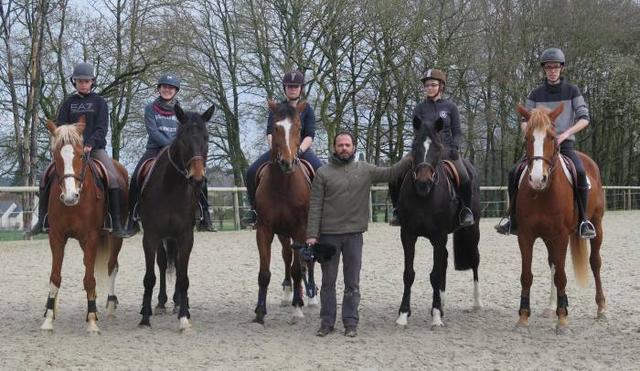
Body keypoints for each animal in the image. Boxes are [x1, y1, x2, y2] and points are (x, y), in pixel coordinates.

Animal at [40, 118, 128, 334]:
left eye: (81, 154)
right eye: (56, 156)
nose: (70, 196)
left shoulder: (91, 237)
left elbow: (89, 279)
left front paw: (92, 321)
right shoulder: (56, 237)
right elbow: (55, 277)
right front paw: (48, 319)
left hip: (115, 238)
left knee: (111, 266)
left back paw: (109, 306)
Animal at [137, 103, 215, 332]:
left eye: (206, 138)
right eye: (182, 139)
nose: (197, 178)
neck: (172, 189)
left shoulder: (186, 236)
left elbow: (183, 277)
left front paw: (184, 317)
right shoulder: (151, 237)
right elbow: (150, 277)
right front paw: (145, 317)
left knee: (178, 265)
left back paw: (179, 303)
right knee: (162, 264)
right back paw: (161, 303)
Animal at [252, 100, 318, 324]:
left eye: (298, 127)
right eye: (275, 128)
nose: (287, 163)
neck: (283, 185)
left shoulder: (300, 229)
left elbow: (299, 269)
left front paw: (297, 308)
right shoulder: (264, 229)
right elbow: (264, 273)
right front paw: (260, 312)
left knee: (307, 261)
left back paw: (311, 297)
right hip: (282, 233)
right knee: (287, 256)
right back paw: (288, 293)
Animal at [396, 114, 480, 328]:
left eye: (438, 147)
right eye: (414, 145)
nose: (423, 183)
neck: (424, 197)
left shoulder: (439, 236)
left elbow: (434, 275)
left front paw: (435, 316)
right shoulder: (407, 235)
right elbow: (408, 274)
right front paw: (403, 314)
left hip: (472, 230)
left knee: (475, 260)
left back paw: (476, 303)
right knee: (444, 261)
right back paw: (442, 303)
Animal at [516, 104, 604, 334]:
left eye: (552, 137)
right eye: (527, 137)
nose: (538, 179)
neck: (542, 193)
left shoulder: (561, 236)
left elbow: (562, 276)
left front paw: (563, 318)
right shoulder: (525, 235)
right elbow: (527, 275)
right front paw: (523, 316)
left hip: (597, 225)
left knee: (595, 263)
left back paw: (601, 307)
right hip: (548, 237)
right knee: (553, 264)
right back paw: (550, 307)